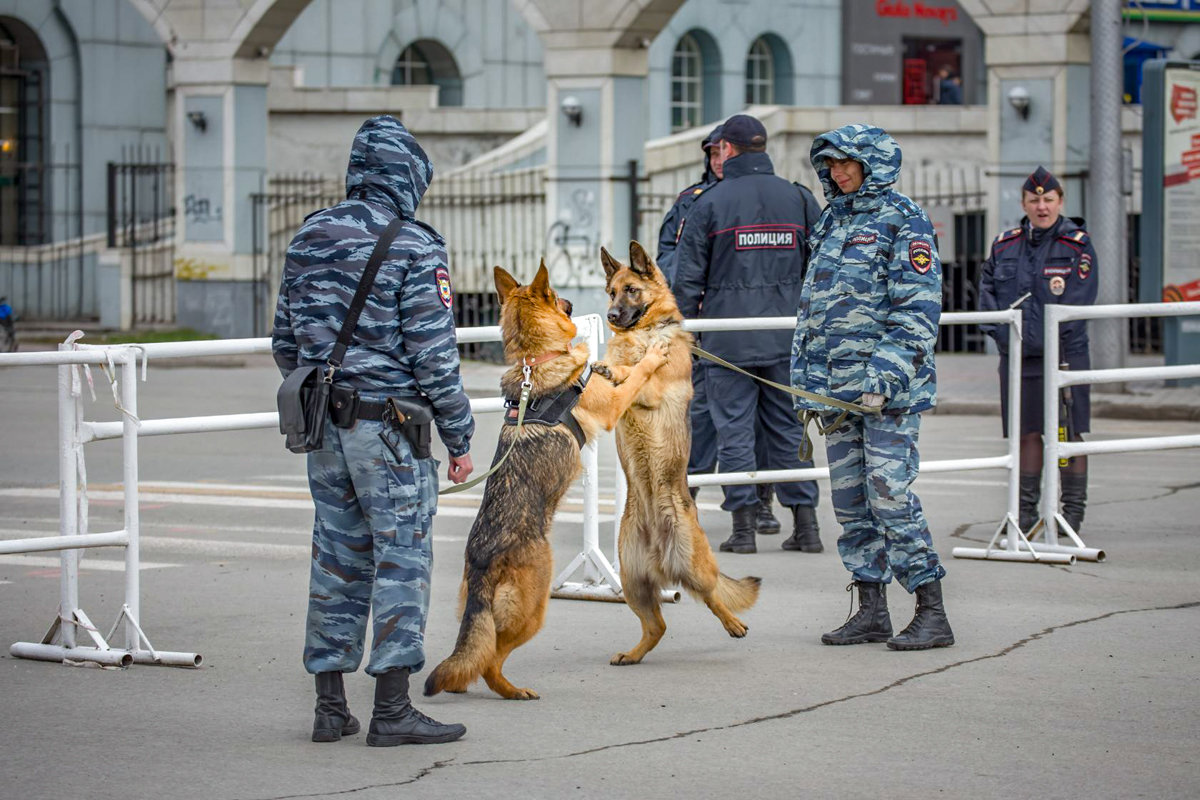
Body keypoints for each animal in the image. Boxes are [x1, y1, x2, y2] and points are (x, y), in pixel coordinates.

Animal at [420, 263, 667, 700]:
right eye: (553, 294)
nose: (570, 301)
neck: (536, 359)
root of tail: (483, 563)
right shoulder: (612, 406)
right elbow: (637, 374)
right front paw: (650, 355)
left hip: (481, 610)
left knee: (474, 652)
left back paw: (464, 684)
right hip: (534, 609)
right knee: (490, 660)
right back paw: (513, 691)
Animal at [600, 241, 758, 666]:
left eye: (631, 291)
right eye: (611, 292)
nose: (611, 316)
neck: (645, 330)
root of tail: (660, 557)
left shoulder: (652, 390)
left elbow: (637, 371)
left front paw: (625, 366)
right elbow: (623, 368)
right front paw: (608, 365)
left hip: (694, 566)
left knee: (713, 596)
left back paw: (734, 624)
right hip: (631, 582)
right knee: (657, 626)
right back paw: (633, 655)